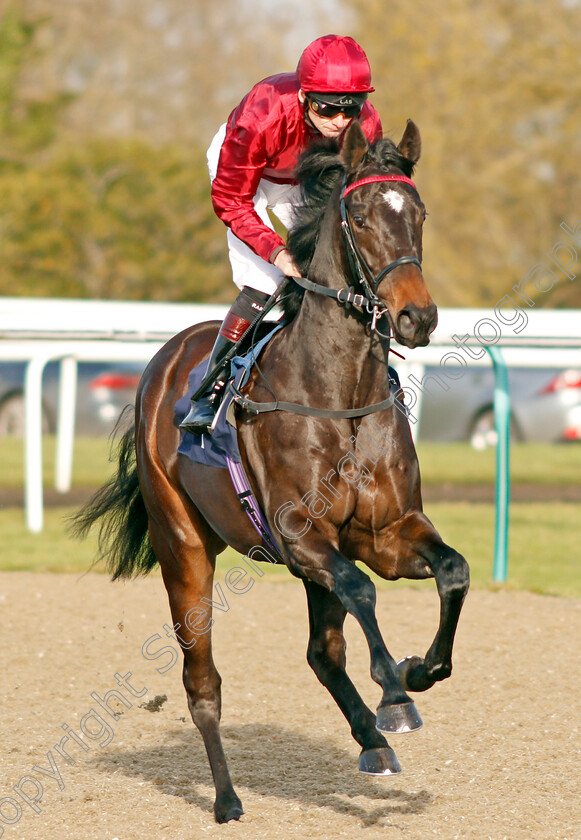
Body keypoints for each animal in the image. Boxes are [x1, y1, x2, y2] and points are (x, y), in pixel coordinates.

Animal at [73, 121, 472, 824]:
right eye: (362, 217)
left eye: (419, 214)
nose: (416, 318)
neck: (339, 395)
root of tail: (164, 361)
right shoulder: (301, 537)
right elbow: (363, 590)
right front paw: (395, 694)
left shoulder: (386, 532)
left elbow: (452, 571)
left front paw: (417, 673)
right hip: (183, 548)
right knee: (202, 680)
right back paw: (228, 797)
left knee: (322, 651)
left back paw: (370, 739)